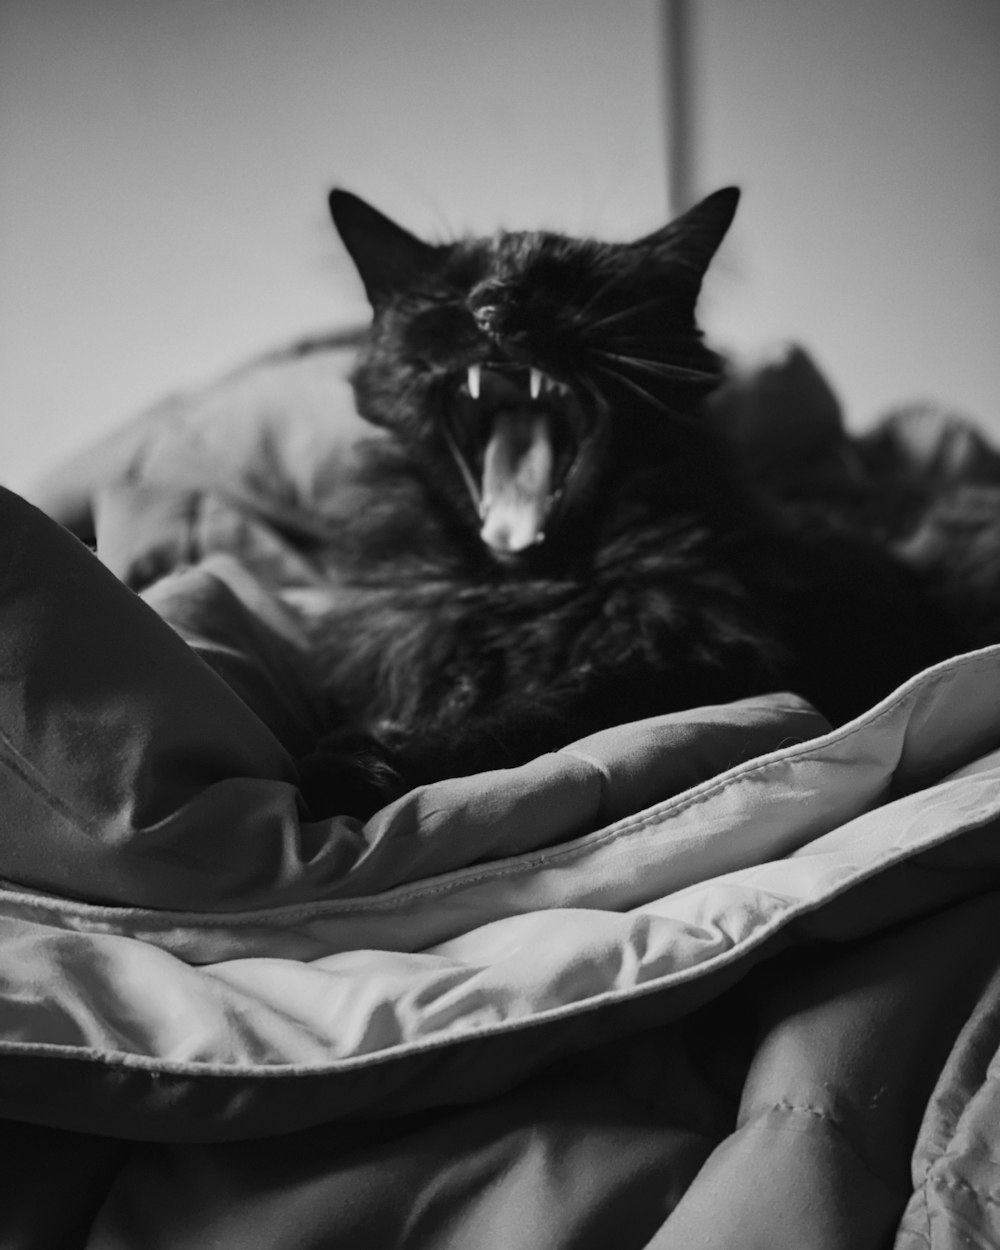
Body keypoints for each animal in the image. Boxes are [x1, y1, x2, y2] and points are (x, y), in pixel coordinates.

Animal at [297, 182, 955, 810]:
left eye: (572, 287)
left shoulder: (698, 661)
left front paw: (363, 764)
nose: (495, 306)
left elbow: (531, 713)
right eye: (453, 293)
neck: (529, 595)